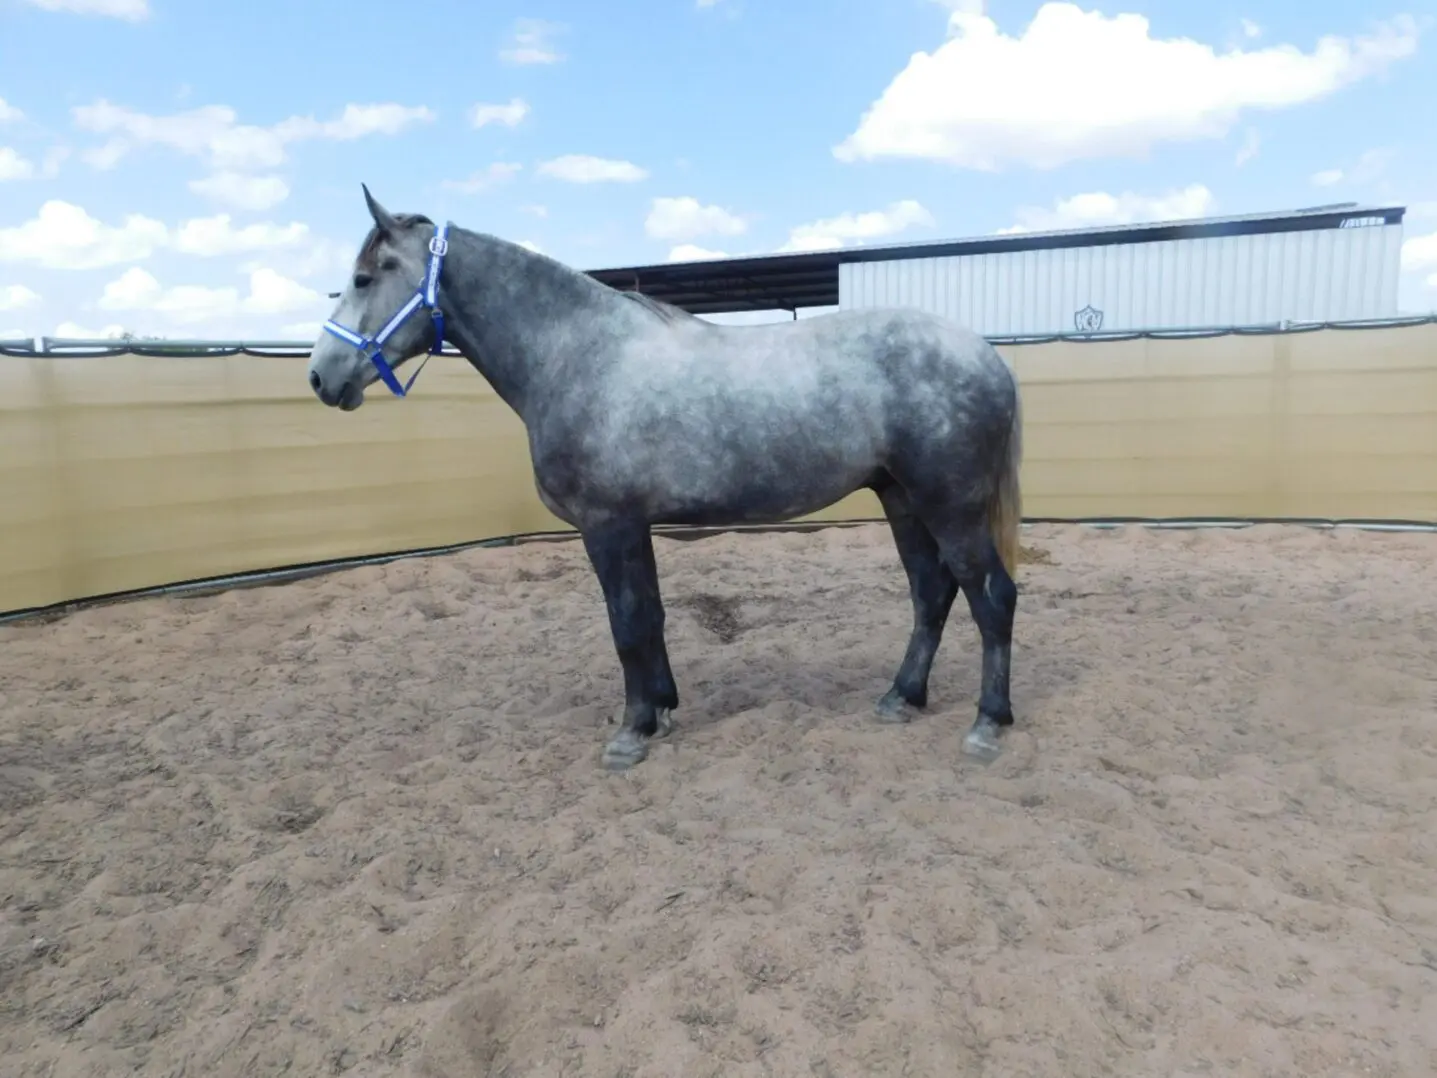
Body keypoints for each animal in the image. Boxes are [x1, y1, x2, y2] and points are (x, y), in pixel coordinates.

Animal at [306, 185, 1025, 773]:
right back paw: (901, 697)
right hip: (902, 499)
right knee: (931, 593)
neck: (578, 354)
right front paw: (662, 709)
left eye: (364, 277)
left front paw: (630, 734)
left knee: (991, 596)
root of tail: (985, 355)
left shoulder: (607, 524)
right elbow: (649, 615)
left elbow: (625, 622)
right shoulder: (634, 525)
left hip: (949, 506)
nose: (320, 377)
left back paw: (987, 724)